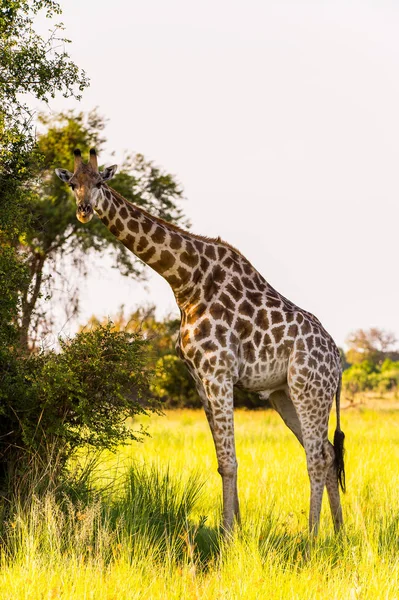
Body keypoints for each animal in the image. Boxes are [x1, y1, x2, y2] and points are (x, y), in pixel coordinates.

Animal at [54, 149, 346, 536]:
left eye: (101, 181)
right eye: (73, 184)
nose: (84, 209)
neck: (185, 281)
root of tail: (337, 362)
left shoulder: (218, 372)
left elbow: (230, 459)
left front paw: (228, 535)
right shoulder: (198, 376)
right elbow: (221, 460)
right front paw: (234, 530)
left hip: (308, 389)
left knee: (316, 456)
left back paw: (313, 538)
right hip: (285, 395)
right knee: (327, 452)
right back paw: (339, 534)